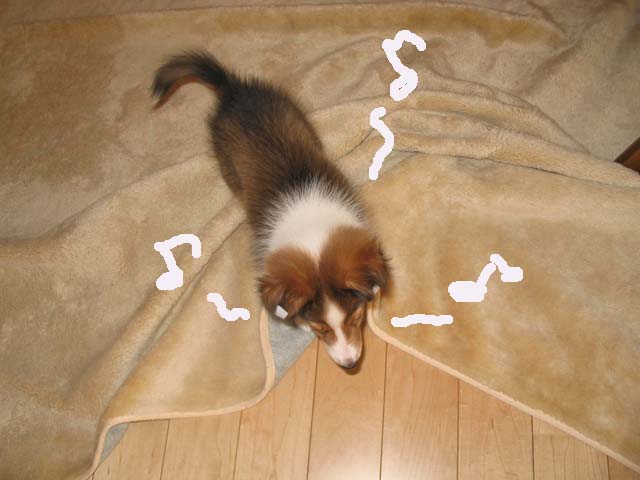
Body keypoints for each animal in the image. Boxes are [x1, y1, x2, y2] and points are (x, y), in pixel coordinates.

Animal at [152, 51, 389, 369]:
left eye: (355, 318)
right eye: (321, 330)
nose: (350, 365)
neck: (312, 229)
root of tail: (232, 87)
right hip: (227, 160)